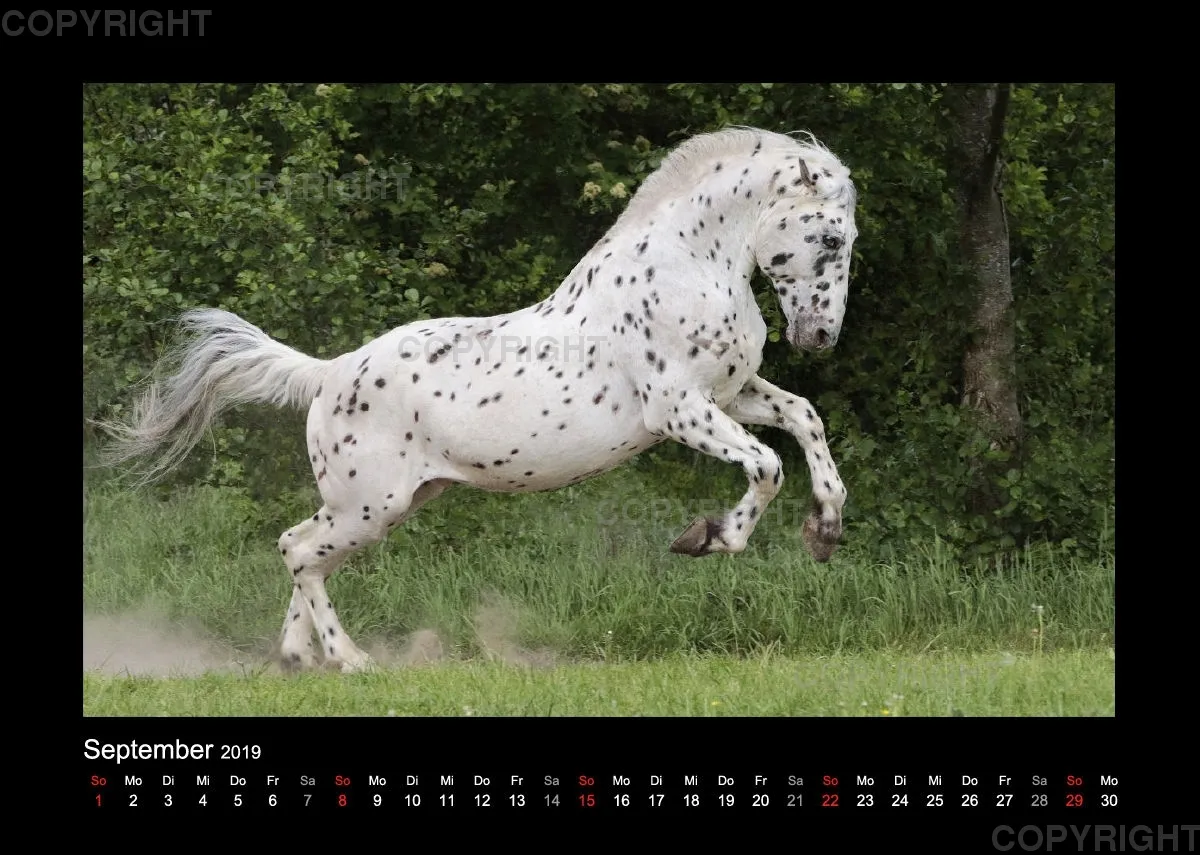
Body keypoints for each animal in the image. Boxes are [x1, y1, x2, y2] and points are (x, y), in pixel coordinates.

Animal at [97, 126, 860, 673]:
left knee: (303, 553)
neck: (686, 266)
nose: (820, 335)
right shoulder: (677, 408)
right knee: (299, 550)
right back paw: (351, 660)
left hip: (384, 503)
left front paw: (824, 531)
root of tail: (328, 372)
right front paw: (708, 538)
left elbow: (803, 418)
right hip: (370, 505)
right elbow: (766, 464)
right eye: (827, 237)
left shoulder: (731, 392)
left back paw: (296, 657)